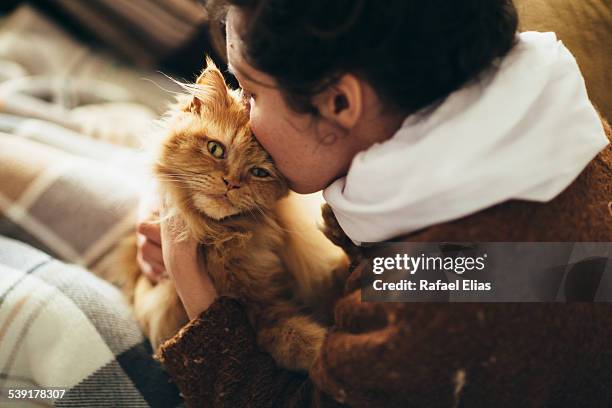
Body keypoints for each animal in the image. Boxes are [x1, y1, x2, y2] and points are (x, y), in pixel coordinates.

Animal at [108, 58, 350, 372]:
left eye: (259, 172)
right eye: (216, 149)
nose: (231, 183)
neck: (225, 240)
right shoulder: (256, 314)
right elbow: (298, 339)